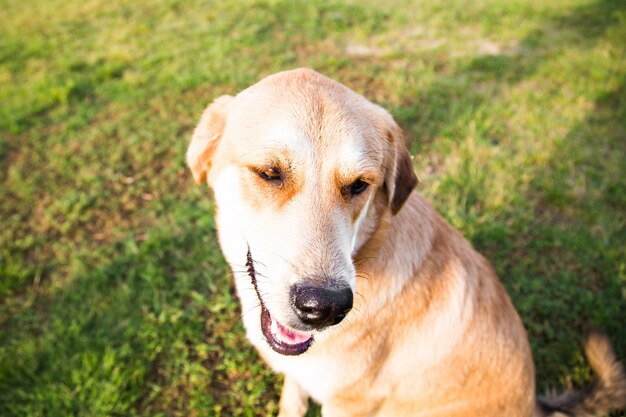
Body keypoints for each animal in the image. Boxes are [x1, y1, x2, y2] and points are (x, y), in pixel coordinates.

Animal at [186, 69, 624, 416]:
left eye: (359, 185)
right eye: (269, 173)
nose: (325, 307)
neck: (366, 252)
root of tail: (537, 406)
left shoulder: (349, 405)